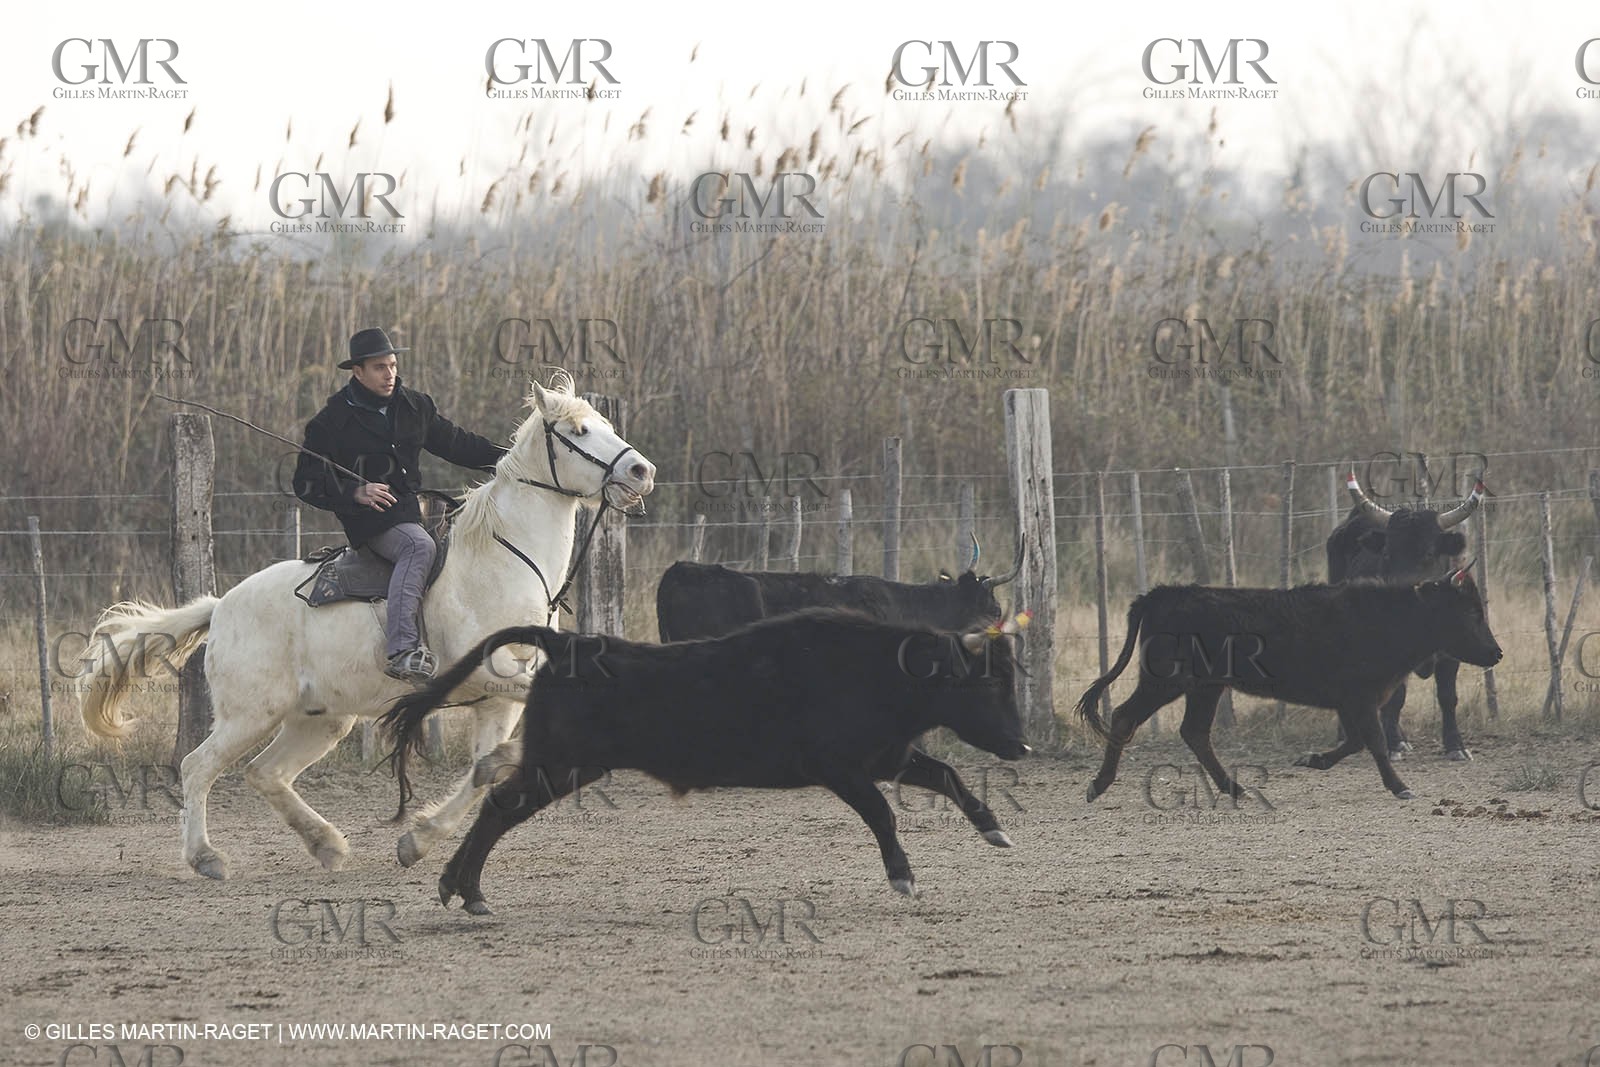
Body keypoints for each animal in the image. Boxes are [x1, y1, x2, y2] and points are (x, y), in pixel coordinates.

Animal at [380, 609, 1031, 914]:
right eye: (986, 683)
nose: (1022, 746)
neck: (874, 672)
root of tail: (569, 642)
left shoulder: (887, 757)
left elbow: (946, 775)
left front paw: (995, 830)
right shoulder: (841, 770)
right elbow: (883, 815)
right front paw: (903, 876)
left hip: (565, 768)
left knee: (496, 805)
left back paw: (456, 886)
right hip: (559, 766)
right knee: (498, 807)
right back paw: (467, 889)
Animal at [1075, 567, 1501, 803]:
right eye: (1471, 612)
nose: (1496, 654)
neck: (1388, 616)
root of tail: (1161, 594)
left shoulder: (1353, 702)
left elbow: (1358, 741)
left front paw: (1312, 760)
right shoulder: (1362, 699)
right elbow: (1376, 742)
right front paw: (1400, 787)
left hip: (1205, 688)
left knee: (1194, 732)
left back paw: (1235, 788)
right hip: (1165, 682)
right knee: (1125, 717)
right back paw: (1099, 784)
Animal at [1328, 469, 1488, 760]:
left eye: (1429, 553)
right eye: (1387, 553)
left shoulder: (1451, 653)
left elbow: (1447, 697)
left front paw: (1456, 746)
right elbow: (1396, 698)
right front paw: (1394, 744)